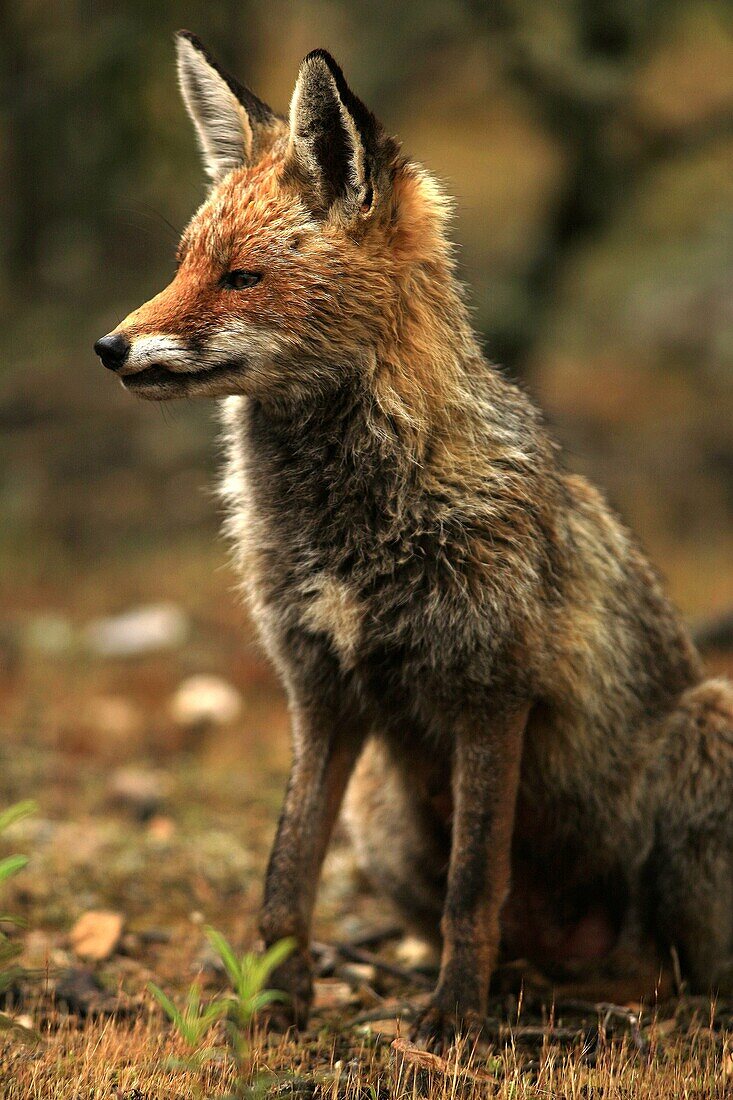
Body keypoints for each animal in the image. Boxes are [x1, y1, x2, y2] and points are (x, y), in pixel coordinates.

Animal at [94, 32, 730, 1047]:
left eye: (242, 278)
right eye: (184, 264)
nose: (110, 347)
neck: (345, 531)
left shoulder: (490, 692)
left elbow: (473, 887)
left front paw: (452, 1021)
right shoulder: (320, 691)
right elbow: (283, 880)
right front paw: (276, 1007)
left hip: (706, 731)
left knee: (661, 968)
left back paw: (565, 1000)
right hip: (381, 813)